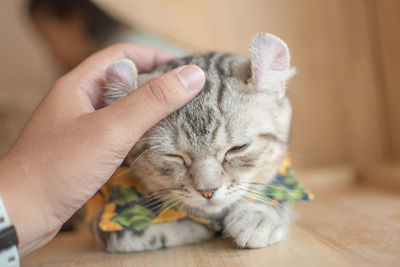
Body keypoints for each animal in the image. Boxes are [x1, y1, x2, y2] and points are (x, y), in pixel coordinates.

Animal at [92, 32, 296, 252]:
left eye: (237, 148)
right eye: (173, 156)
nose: (208, 192)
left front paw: (258, 215)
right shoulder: (106, 220)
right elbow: (132, 235)